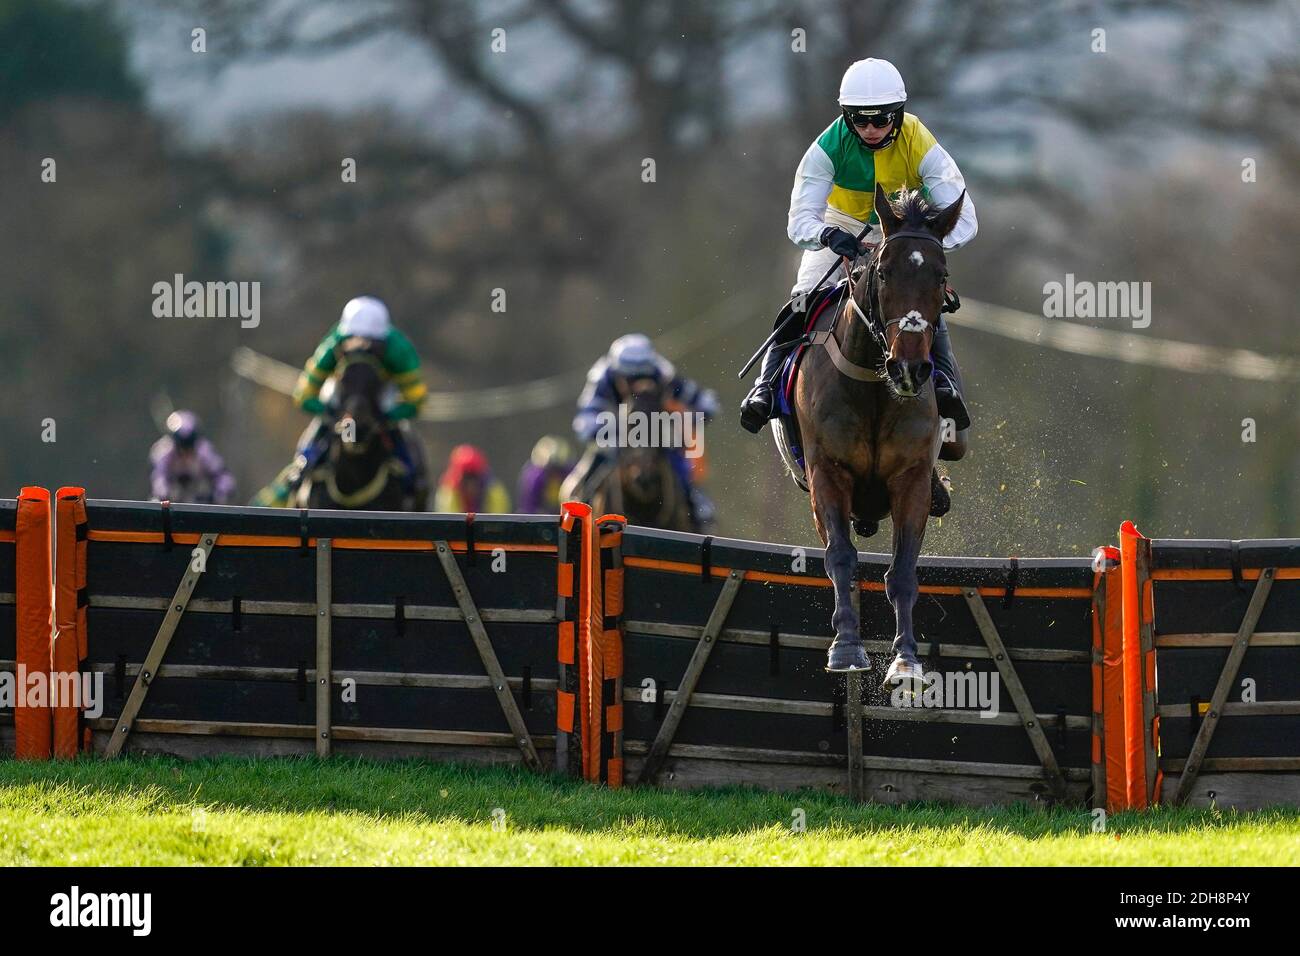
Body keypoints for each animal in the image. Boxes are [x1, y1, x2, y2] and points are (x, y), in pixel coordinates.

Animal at [790, 183, 967, 686]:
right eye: (884, 274)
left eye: (941, 276)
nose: (909, 368)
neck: (873, 385)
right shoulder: (827, 473)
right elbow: (840, 557)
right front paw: (846, 647)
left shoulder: (911, 479)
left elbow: (903, 571)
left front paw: (906, 659)